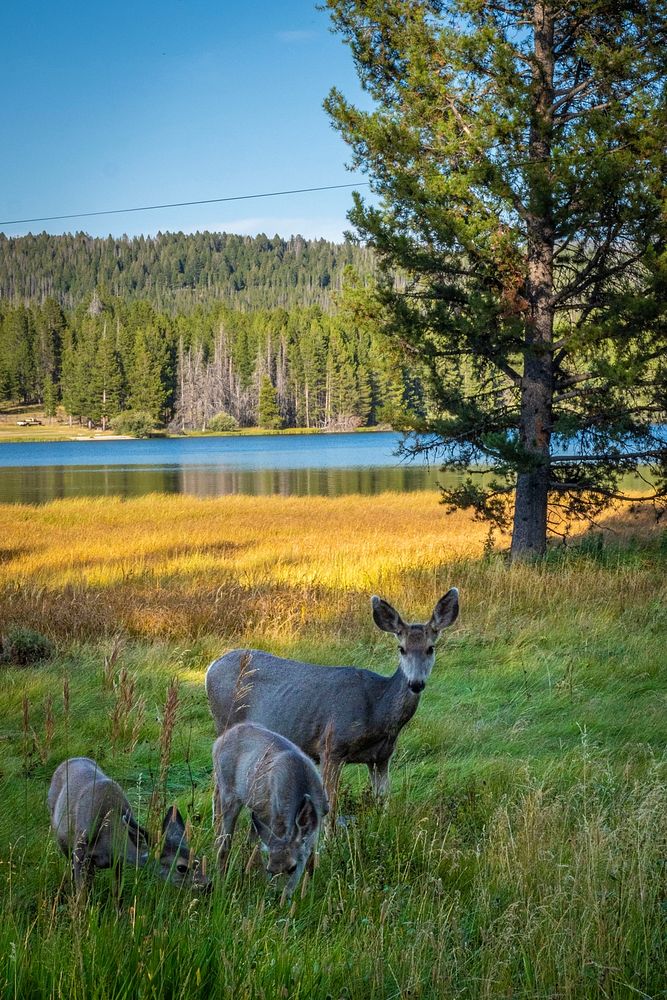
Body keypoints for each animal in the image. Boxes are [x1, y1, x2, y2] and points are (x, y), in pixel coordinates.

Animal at [47, 756, 209, 892]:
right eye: (181, 867)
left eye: (199, 858)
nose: (208, 885)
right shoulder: (79, 853)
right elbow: (82, 894)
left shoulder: (118, 861)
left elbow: (117, 893)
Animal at [206, 588, 462, 816]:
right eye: (402, 648)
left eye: (430, 648)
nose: (416, 683)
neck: (377, 710)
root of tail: (211, 667)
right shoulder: (330, 746)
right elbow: (330, 806)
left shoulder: (382, 757)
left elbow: (383, 802)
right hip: (225, 722)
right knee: (218, 790)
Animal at [213, 724, 328, 896]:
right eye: (270, 869)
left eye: (292, 867)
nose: (277, 896)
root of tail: (217, 742)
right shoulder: (277, 819)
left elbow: (312, 860)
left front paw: (308, 892)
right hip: (228, 793)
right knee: (224, 844)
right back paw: (221, 886)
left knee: (248, 842)